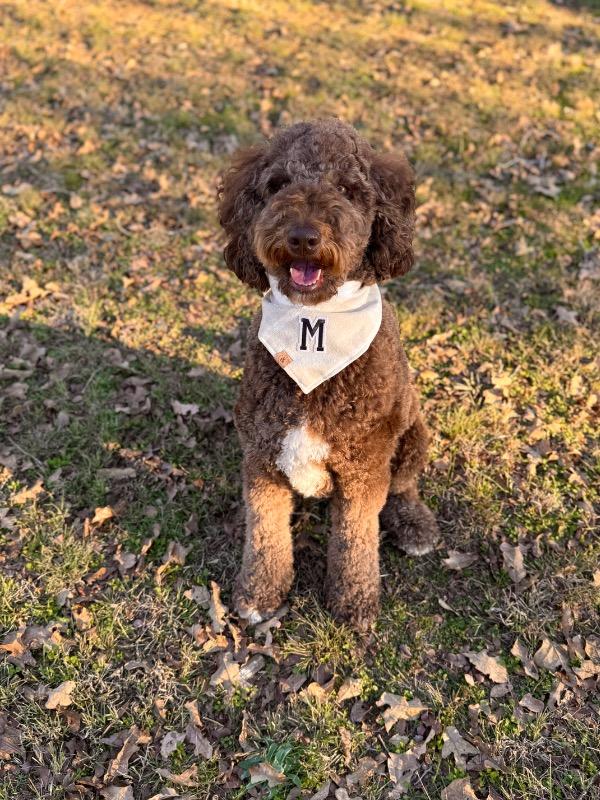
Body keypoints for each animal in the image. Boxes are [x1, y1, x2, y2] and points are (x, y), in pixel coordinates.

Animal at [218, 119, 438, 632]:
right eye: (277, 184)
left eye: (347, 189)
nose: (303, 237)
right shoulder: (263, 458)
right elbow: (265, 532)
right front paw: (260, 593)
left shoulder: (363, 468)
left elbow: (356, 538)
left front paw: (354, 601)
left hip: (412, 434)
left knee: (403, 488)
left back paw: (414, 524)